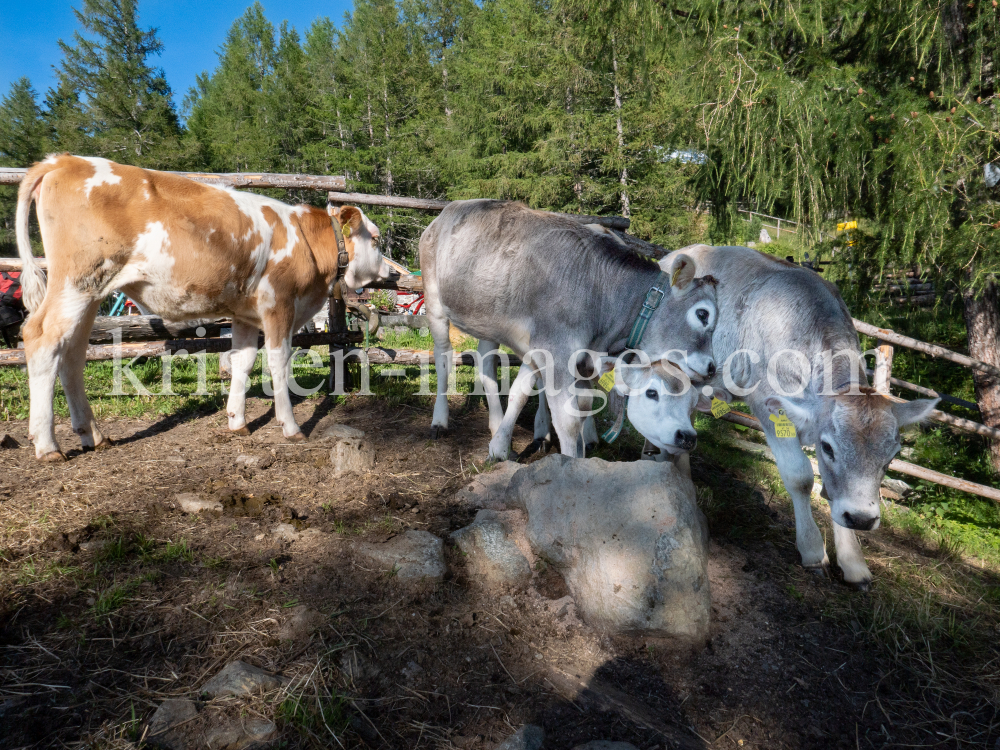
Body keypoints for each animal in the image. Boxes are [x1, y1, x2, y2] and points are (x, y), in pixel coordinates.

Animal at [16, 153, 390, 462]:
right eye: (375, 238)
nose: (390, 271)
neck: (306, 243)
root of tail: (64, 160)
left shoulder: (244, 313)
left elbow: (242, 361)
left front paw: (237, 421)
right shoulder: (279, 304)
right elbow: (278, 363)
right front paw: (291, 427)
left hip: (90, 292)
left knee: (72, 354)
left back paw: (92, 435)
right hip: (75, 281)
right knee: (42, 339)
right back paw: (47, 445)